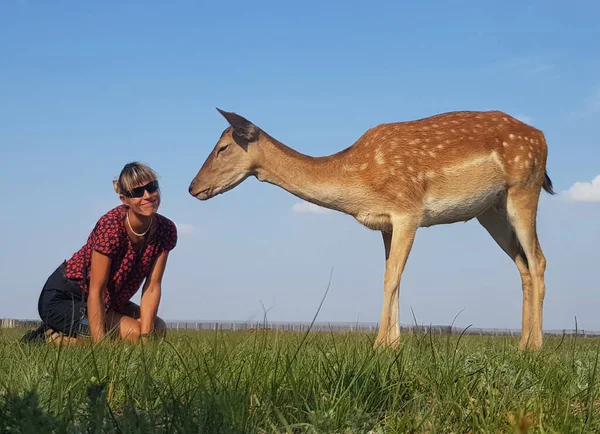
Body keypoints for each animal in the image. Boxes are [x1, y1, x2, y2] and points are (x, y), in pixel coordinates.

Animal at [190, 107, 556, 350]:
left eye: (223, 147)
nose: (193, 187)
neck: (359, 183)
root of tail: (542, 138)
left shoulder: (408, 210)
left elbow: (391, 276)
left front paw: (380, 344)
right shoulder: (385, 224)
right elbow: (392, 274)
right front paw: (394, 344)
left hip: (524, 188)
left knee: (539, 259)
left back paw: (537, 346)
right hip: (491, 212)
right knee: (523, 264)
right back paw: (522, 343)